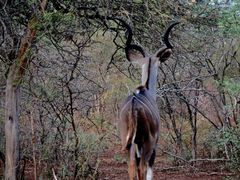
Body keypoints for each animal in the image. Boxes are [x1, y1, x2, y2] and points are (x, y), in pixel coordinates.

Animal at [118, 20, 178, 179]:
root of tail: (134, 106)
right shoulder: (154, 145)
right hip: (147, 144)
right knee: (142, 167)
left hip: (129, 144)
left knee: (132, 167)